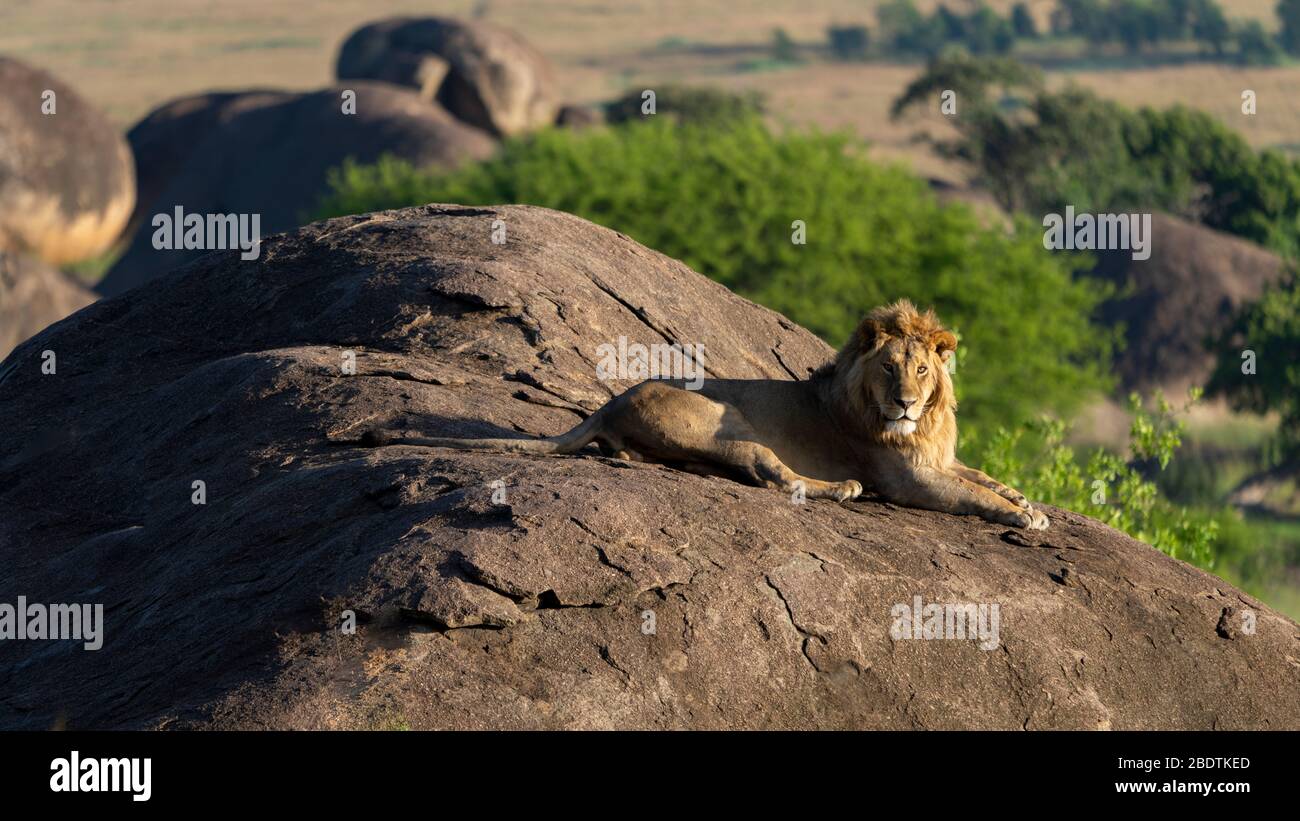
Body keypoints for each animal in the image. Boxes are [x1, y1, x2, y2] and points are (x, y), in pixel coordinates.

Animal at [367, 299, 1048, 530]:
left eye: (924, 371)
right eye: (889, 368)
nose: (905, 402)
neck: (922, 426)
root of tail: (608, 403)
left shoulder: (940, 458)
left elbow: (982, 477)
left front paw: (1026, 499)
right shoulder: (907, 477)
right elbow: (972, 496)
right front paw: (1023, 516)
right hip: (729, 420)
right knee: (773, 474)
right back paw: (839, 488)